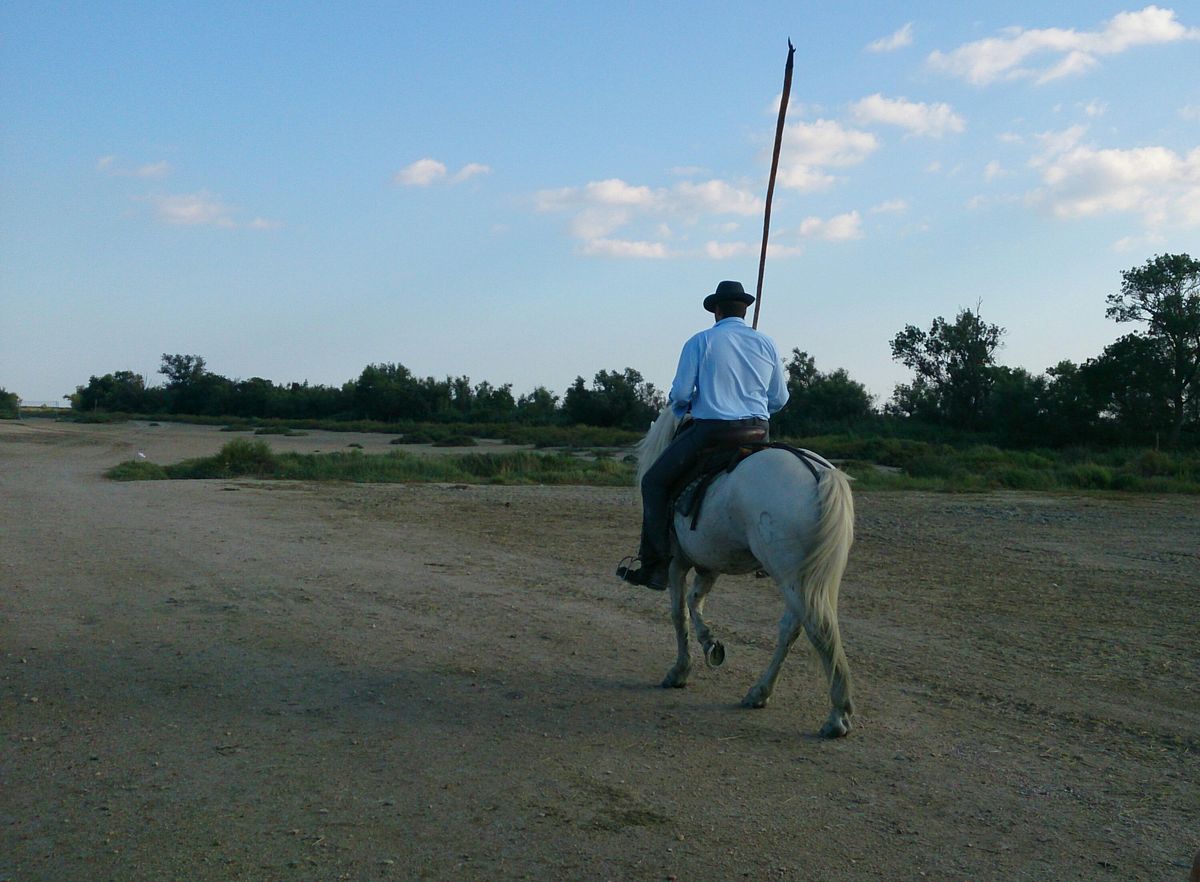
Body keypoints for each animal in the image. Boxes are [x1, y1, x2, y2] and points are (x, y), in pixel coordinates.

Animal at [638, 408, 854, 739]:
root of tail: (817, 473)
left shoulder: (677, 563)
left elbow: (679, 613)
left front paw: (680, 671)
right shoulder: (709, 564)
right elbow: (694, 601)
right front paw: (710, 644)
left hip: (792, 579)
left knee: (818, 629)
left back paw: (836, 717)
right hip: (803, 579)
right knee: (791, 628)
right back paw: (759, 693)